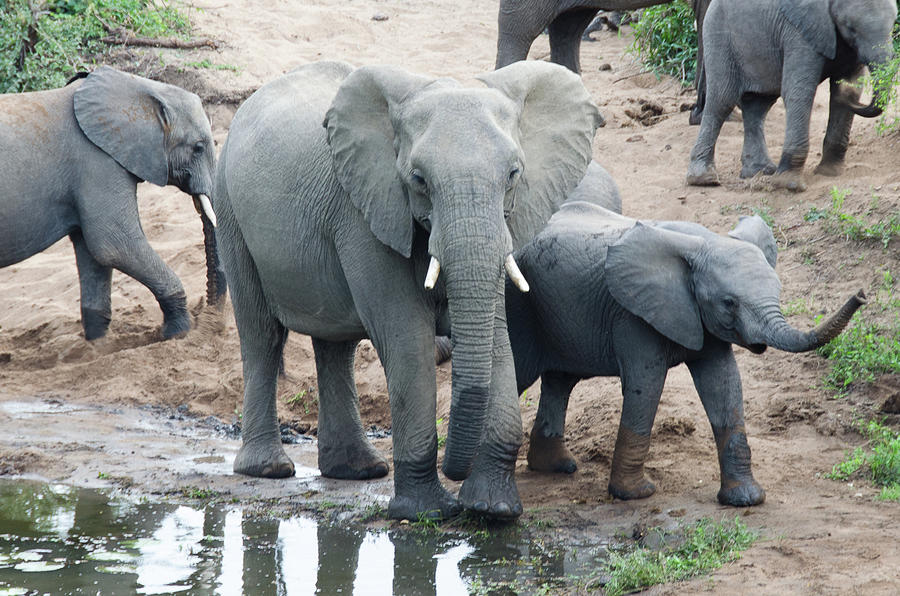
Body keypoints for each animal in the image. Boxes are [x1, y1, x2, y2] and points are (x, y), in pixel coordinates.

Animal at [0, 66, 225, 340]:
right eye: (198, 147)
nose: (213, 323)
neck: (142, 91)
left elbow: (94, 254)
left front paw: (98, 344)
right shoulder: (97, 161)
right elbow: (114, 245)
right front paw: (178, 332)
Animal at [214, 58, 600, 520]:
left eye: (513, 175)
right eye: (418, 179)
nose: (456, 471)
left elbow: (497, 340)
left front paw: (493, 510)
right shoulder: (366, 212)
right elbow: (407, 339)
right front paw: (426, 513)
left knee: (335, 346)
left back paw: (357, 471)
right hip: (229, 207)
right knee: (262, 334)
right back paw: (269, 469)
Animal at [506, 203, 864, 506]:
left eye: (778, 291)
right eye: (729, 303)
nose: (861, 294)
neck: (704, 243)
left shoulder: (700, 319)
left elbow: (724, 384)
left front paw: (745, 500)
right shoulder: (633, 313)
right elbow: (647, 386)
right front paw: (636, 494)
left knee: (560, 382)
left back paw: (556, 467)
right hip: (520, 306)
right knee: (521, 375)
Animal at [684, 0, 896, 190]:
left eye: (894, 23)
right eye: (851, 28)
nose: (848, 98)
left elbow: (852, 84)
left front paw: (830, 172)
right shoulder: (798, 33)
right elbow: (798, 91)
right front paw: (790, 184)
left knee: (758, 105)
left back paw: (760, 171)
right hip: (719, 36)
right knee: (722, 101)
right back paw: (704, 179)